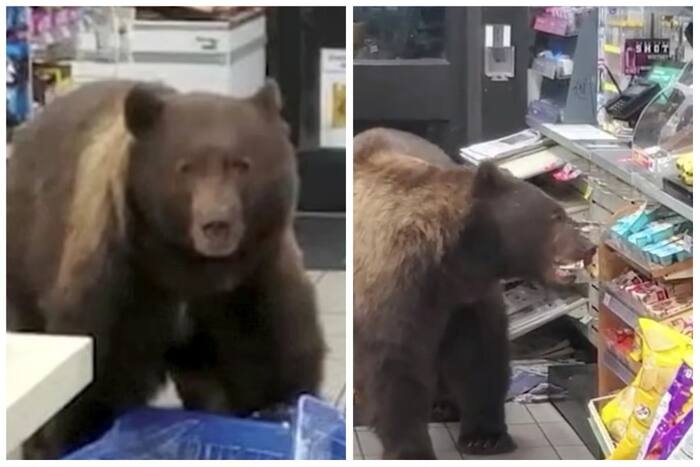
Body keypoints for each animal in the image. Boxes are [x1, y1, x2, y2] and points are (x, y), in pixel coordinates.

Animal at [7, 80, 325, 459]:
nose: (216, 224)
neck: (187, 269)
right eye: (185, 167)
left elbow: (272, 361)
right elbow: (96, 384)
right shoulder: (124, 284)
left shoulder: (252, 281)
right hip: (26, 260)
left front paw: (279, 411)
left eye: (240, 164)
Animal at [353, 128, 595, 460]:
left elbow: (478, 354)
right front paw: (411, 448)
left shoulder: (465, 299)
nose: (589, 246)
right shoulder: (396, 290)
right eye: (556, 215)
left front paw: (485, 437)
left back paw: (444, 405)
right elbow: (394, 368)